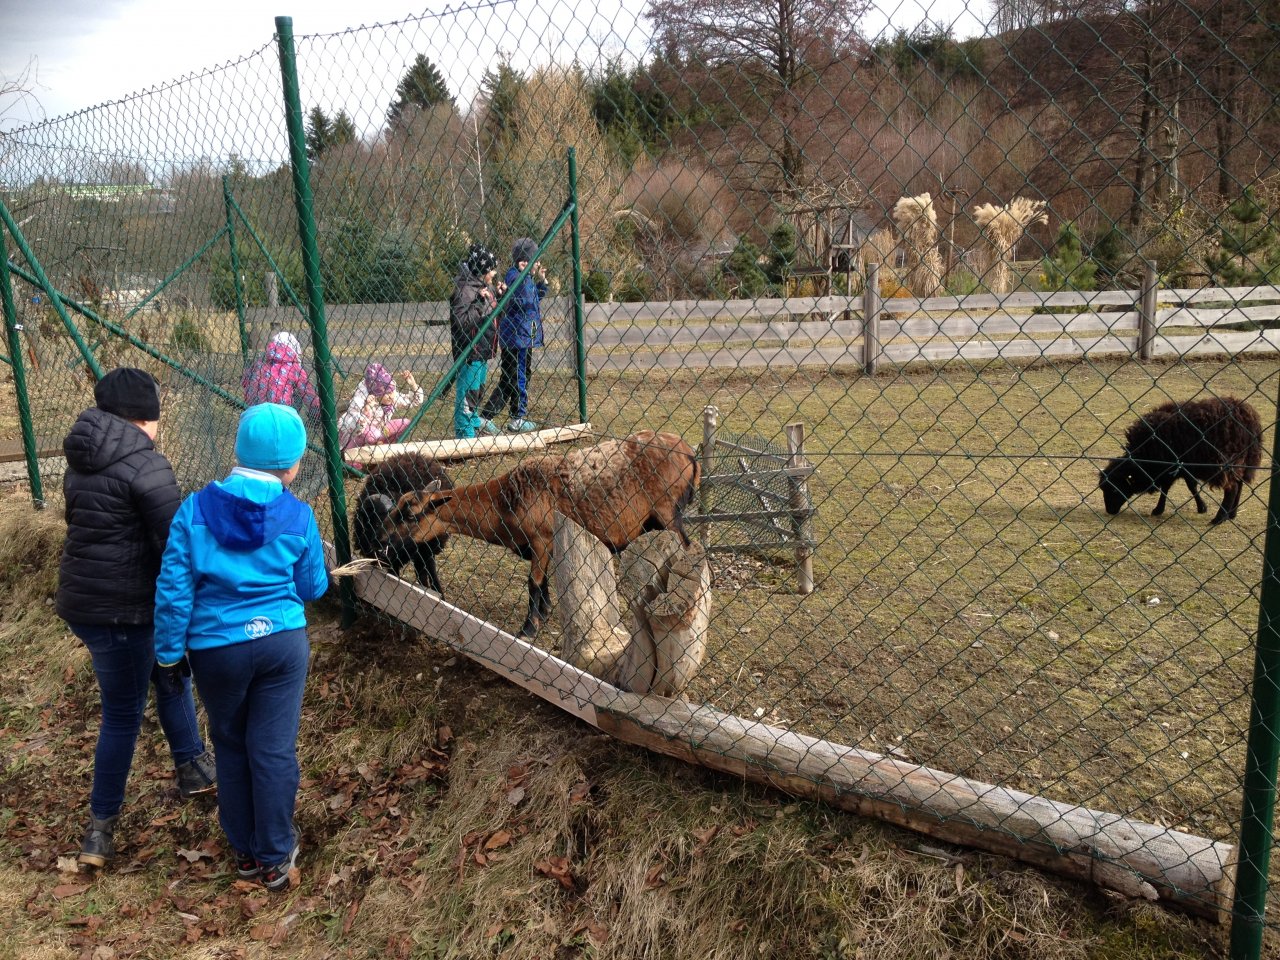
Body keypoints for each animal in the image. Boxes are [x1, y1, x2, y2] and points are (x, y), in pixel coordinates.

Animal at [383, 430, 700, 638]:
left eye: (410, 515)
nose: (383, 536)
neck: (503, 503)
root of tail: (688, 450)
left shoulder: (541, 538)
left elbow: (533, 582)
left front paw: (528, 629)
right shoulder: (541, 545)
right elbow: (543, 580)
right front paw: (544, 613)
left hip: (668, 512)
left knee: (687, 549)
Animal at [1098, 396, 1262, 525]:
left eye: (1114, 489)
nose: (1109, 511)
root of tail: (1250, 421)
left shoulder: (1171, 465)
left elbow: (1171, 486)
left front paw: (1158, 509)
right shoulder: (1179, 467)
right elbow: (1188, 486)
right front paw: (1201, 507)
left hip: (1225, 461)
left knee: (1232, 488)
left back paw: (1219, 518)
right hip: (1245, 459)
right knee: (1239, 484)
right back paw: (1232, 514)